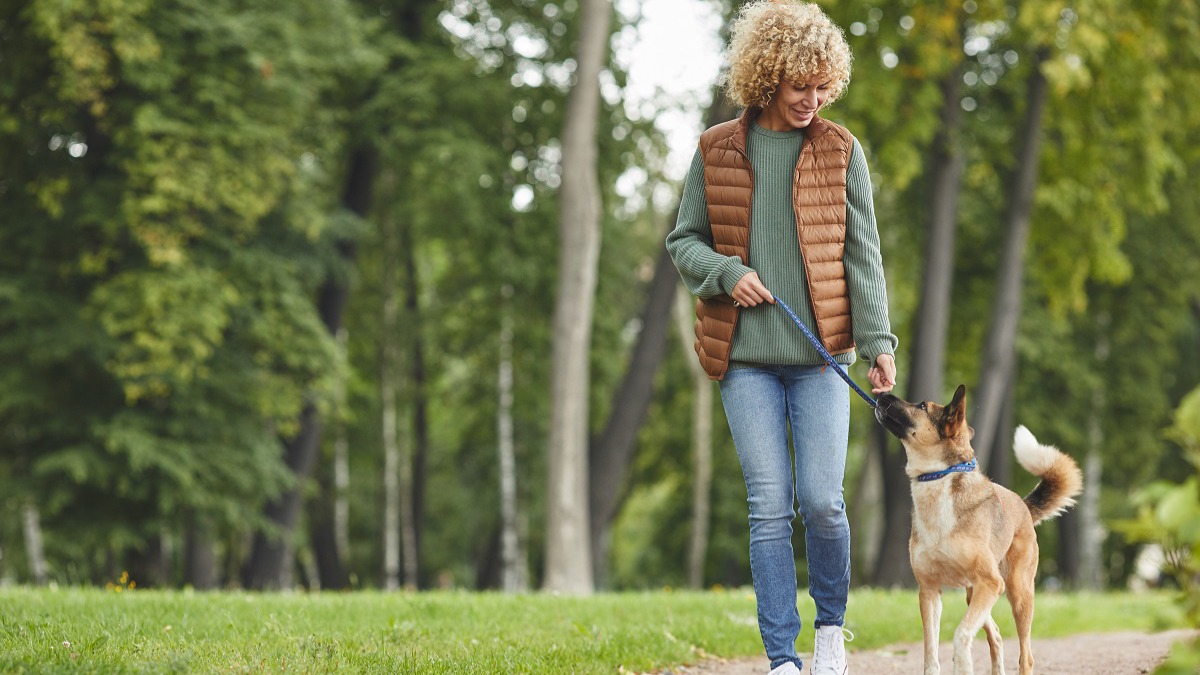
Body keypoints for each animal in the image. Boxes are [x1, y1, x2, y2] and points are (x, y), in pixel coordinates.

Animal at [873, 384, 1089, 672]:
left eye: (921, 406)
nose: (881, 394)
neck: (938, 480)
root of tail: (1023, 505)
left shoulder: (990, 583)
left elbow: (961, 634)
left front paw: (962, 665)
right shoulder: (929, 592)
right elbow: (931, 653)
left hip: (1016, 592)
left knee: (1026, 655)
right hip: (973, 593)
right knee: (995, 636)